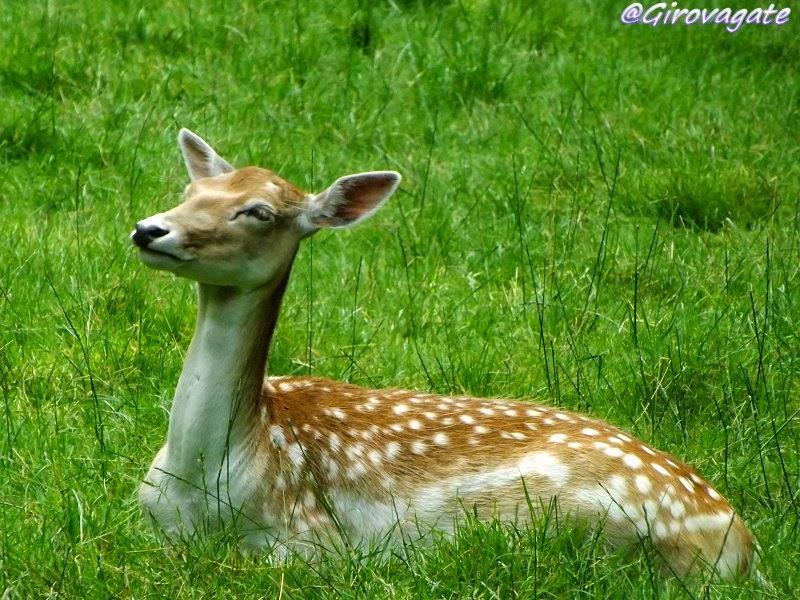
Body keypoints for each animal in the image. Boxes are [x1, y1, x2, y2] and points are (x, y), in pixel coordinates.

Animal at [130, 127, 756, 580]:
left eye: (258, 211)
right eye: (190, 193)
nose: (149, 229)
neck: (210, 479)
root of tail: (743, 546)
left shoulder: (312, 539)